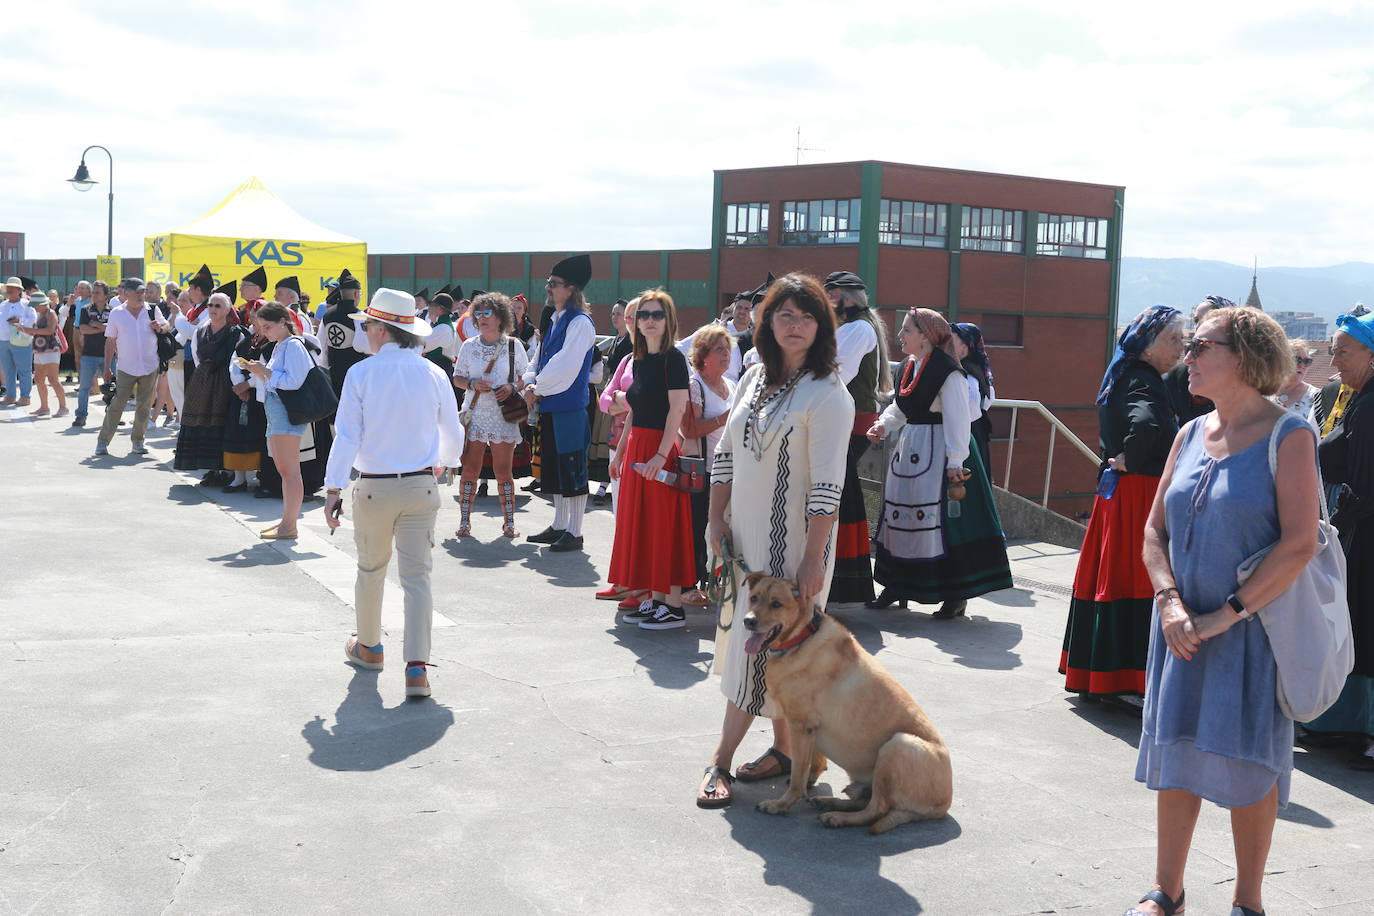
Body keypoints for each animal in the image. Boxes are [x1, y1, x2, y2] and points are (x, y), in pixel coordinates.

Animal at [741, 574, 956, 840]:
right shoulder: (809, 727)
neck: (801, 638)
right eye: (754, 598)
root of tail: (943, 804)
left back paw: (837, 817)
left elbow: (798, 775)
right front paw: (810, 781)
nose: (748, 621)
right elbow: (812, 762)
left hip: (898, 745)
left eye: (776, 604)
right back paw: (830, 803)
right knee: (866, 801)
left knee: (876, 810)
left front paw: (781, 804)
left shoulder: (801, 725)